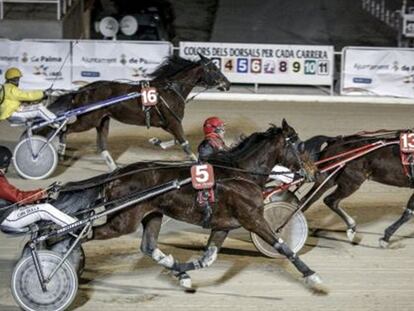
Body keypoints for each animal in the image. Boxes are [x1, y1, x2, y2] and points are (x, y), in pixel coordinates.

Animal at [44, 54, 231, 169]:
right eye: (214, 69)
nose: (227, 84)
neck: (170, 90)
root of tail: (83, 90)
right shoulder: (173, 122)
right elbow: (184, 144)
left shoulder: (169, 123)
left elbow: (176, 141)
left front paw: (156, 141)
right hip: (88, 120)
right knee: (65, 129)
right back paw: (60, 152)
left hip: (103, 120)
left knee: (102, 146)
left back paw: (114, 169)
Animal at [55, 120, 326, 294]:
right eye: (300, 145)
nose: (314, 171)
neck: (239, 173)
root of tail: (117, 175)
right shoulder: (253, 219)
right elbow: (283, 246)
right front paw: (312, 276)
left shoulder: (223, 226)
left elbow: (207, 258)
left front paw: (182, 273)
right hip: (124, 221)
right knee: (86, 233)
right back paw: (62, 259)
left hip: (152, 215)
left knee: (148, 247)